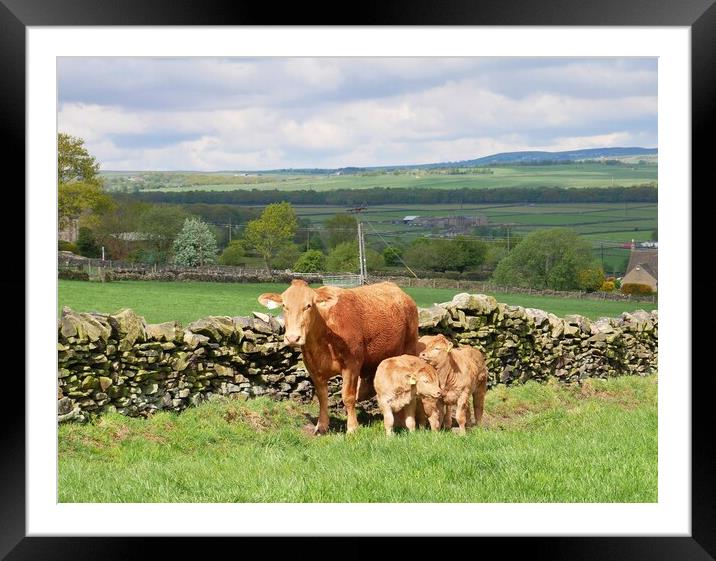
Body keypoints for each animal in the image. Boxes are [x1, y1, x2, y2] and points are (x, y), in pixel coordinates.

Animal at [260, 280, 420, 434]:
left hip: (410, 349)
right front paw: (322, 426)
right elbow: (322, 397)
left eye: (308, 306)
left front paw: (352, 428)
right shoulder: (313, 369)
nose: (293, 338)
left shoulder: (352, 365)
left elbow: (348, 397)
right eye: (284, 306)